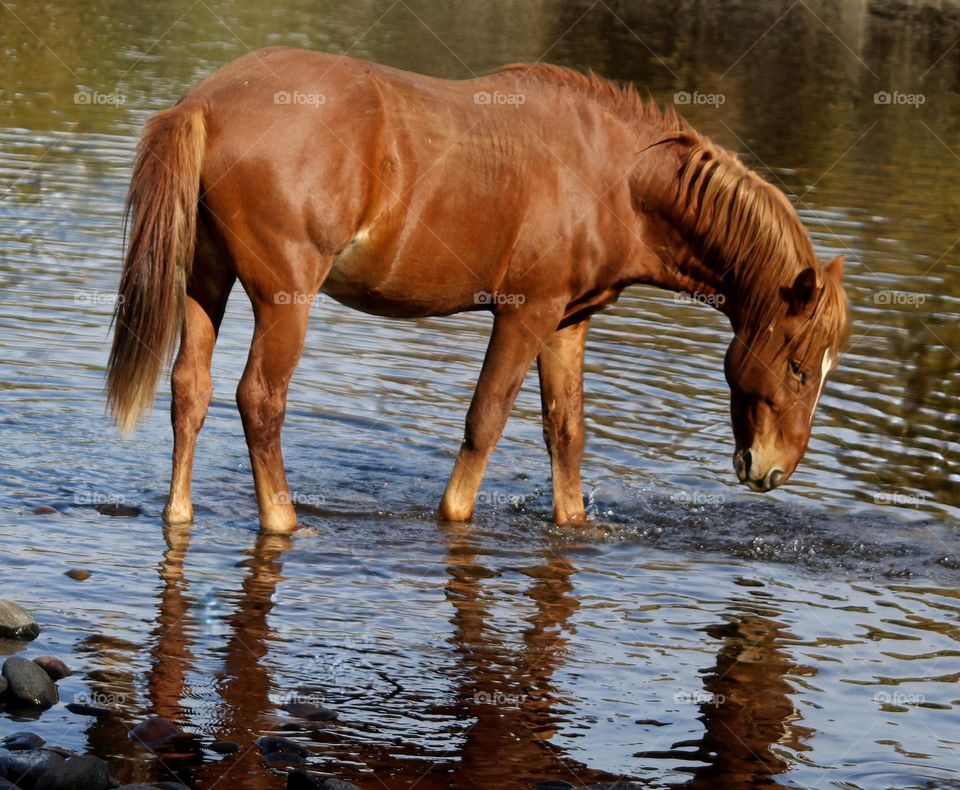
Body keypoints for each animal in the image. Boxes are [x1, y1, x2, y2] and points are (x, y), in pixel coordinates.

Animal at [107, 48, 850, 534]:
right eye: (798, 366)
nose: (772, 470)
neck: (614, 177)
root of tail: (204, 103)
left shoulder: (567, 323)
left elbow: (566, 432)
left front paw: (573, 521)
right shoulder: (526, 315)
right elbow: (485, 421)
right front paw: (455, 513)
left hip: (207, 281)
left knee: (191, 389)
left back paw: (180, 510)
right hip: (285, 298)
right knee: (259, 398)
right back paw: (284, 521)